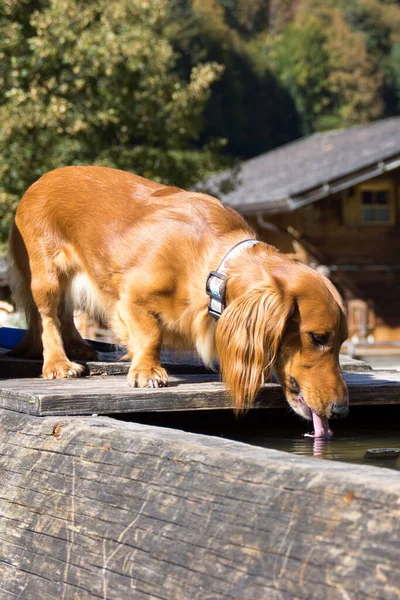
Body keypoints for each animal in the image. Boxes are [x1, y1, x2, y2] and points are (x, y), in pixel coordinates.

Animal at [7, 165, 348, 436]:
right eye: (317, 338)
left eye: (342, 342)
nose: (342, 410)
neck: (212, 269)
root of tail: (40, 181)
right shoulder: (129, 297)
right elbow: (150, 334)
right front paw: (147, 371)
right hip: (47, 277)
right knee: (48, 318)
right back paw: (59, 363)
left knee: (65, 315)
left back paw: (79, 346)